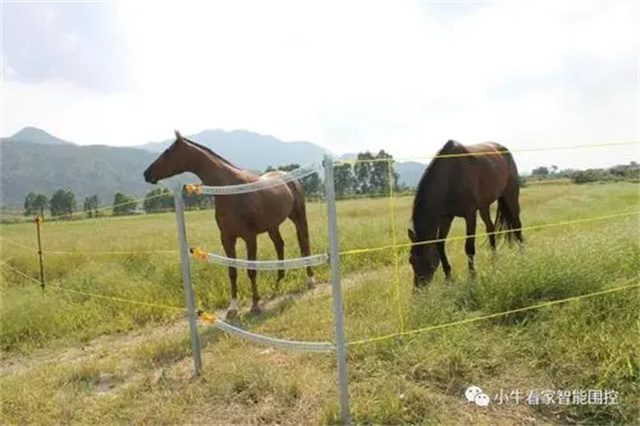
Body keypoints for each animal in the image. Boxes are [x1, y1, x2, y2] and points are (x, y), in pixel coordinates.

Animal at [144, 131, 316, 318]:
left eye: (168, 151)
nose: (147, 173)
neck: (231, 190)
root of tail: (291, 179)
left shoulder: (250, 237)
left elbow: (251, 270)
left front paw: (255, 305)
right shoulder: (227, 238)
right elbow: (232, 272)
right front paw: (232, 308)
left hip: (298, 218)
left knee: (304, 243)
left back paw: (310, 280)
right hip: (273, 226)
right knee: (280, 245)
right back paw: (278, 284)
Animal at [408, 140, 524, 286]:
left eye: (426, 261)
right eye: (411, 260)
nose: (418, 289)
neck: (450, 176)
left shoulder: (470, 215)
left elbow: (469, 247)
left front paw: (472, 276)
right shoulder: (446, 218)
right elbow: (440, 246)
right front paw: (448, 278)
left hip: (510, 196)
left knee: (517, 226)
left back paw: (523, 257)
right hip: (484, 206)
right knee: (490, 229)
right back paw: (494, 263)